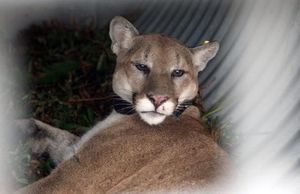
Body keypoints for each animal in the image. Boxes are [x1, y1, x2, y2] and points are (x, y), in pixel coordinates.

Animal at [16, 15, 229, 193]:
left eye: (178, 72)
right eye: (141, 66)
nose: (158, 99)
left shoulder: (73, 177)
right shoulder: (74, 152)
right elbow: (51, 133)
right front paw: (20, 128)